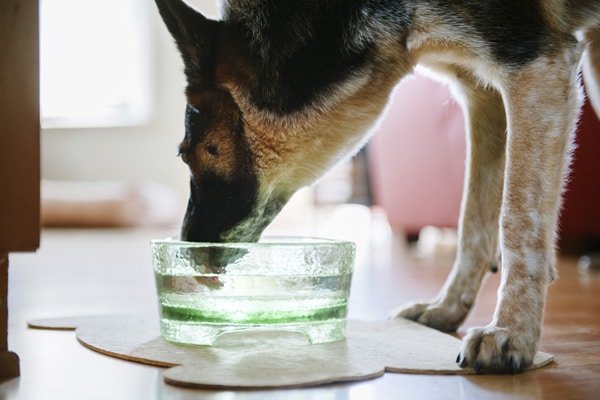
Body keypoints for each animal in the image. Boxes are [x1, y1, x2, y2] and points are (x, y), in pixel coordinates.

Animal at [157, 0, 600, 376]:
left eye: (188, 156)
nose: (186, 253)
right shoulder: (483, 95)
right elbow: (473, 219)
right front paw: (447, 309)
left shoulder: (535, 67)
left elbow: (518, 217)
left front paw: (512, 333)